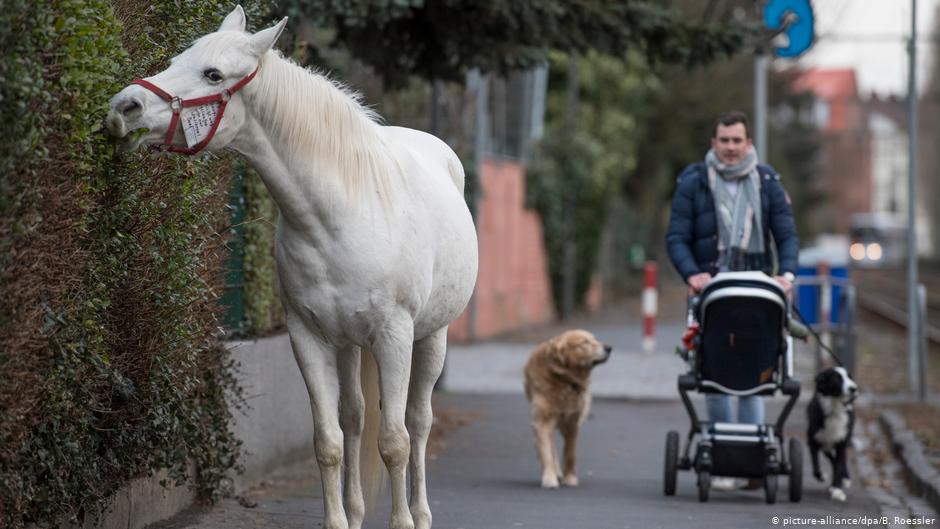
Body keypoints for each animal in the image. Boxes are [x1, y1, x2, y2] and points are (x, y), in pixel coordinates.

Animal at [104, 7, 478, 528]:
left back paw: (420, 514)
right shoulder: (308, 336)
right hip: (348, 344)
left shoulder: (394, 336)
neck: (339, 214)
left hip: (431, 337)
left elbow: (395, 440)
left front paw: (403, 521)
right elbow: (329, 442)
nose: (124, 108)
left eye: (213, 74)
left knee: (418, 422)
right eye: (178, 59)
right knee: (354, 417)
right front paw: (337, 519)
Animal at [808, 366, 860, 502]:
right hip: (825, 446)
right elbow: (815, 466)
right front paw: (821, 476)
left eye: (849, 377)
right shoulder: (814, 440)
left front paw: (837, 490)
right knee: (832, 460)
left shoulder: (842, 442)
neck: (835, 408)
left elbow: (839, 463)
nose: (854, 388)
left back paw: (844, 479)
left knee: (839, 461)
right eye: (837, 379)